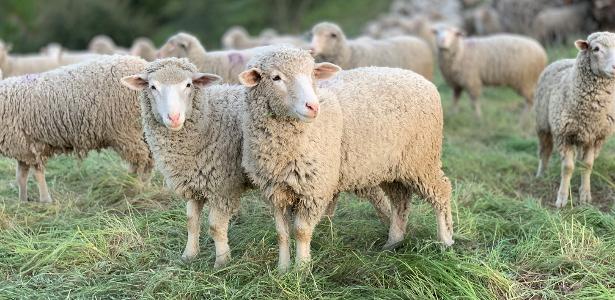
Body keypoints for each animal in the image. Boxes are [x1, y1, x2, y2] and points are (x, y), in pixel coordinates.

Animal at [0, 54, 153, 203]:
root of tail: (143, 63)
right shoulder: (22, 147)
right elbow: (21, 177)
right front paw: (22, 201)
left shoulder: (32, 147)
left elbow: (37, 174)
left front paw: (45, 200)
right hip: (140, 130)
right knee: (147, 158)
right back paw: (136, 183)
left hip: (127, 130)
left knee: (142, 159)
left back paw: (137, 187)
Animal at [119, 57, 390, 268]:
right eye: (153, 87)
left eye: (188, 85)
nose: (173, 117)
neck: (208, 119)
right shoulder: (193, 183)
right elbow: (191, 222)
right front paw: (189, 255)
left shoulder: (223, 186)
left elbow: (215, 226)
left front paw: (222, 262)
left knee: (379, 198)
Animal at [239, 47, 452, 272]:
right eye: (276, 78)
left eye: (313, 74)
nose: (313, 106)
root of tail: (423, 80)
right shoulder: (275, 190)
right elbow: (282, 233)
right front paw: (282, 269)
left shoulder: (314, 188)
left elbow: (301, 231)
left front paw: (301, 270)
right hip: (392, 166)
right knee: (400, 201)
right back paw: (393, 242)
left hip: (422, 159)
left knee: (441, 192)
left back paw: (445, 241)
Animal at [536, 31, 615, 207]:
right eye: (596, 49)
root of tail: (563, 59)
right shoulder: (563, 135)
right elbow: (567, 168)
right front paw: (562, 198)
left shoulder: (595, 136)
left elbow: (587, 165)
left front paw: (585, 195)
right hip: (543, 124)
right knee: (545, 151)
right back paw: (541, 175)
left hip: (582, 136)